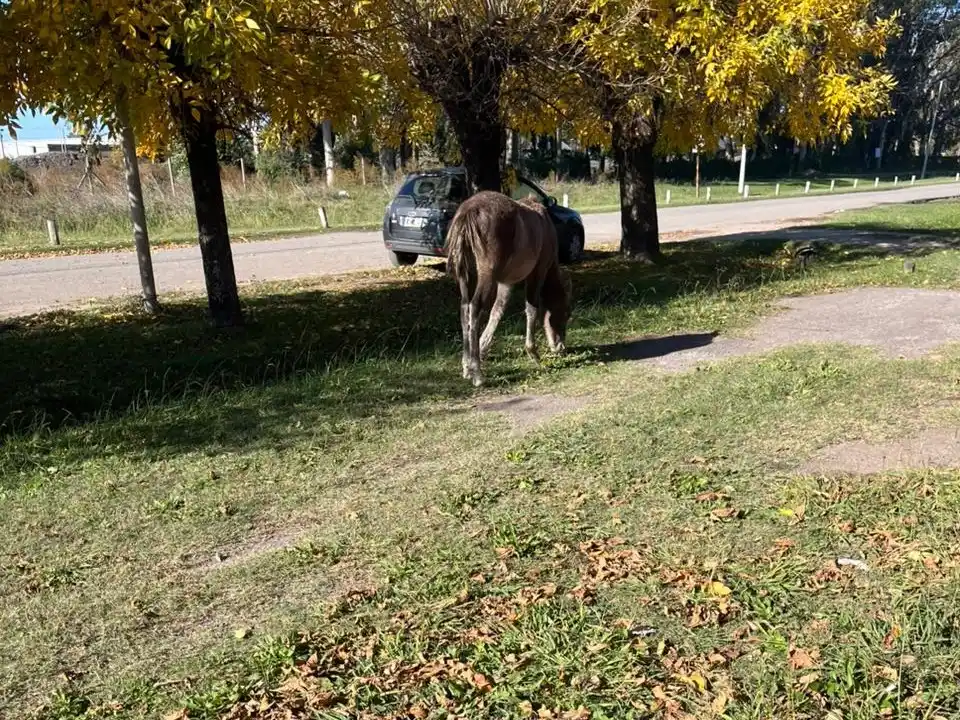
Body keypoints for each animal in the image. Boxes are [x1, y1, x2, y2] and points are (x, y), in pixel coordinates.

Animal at [444, 190, 573, 387]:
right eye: (566, 313)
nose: (560, 347)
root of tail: (468, 213)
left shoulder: (506, 282)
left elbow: (497, 311)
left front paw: (482, 347)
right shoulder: (538, 271)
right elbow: (532, 308)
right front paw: (533, 353)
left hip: (465, 275)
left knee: (464, 308)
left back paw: (467, 366)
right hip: (486, 274)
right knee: (475, 307)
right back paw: (477, 374)